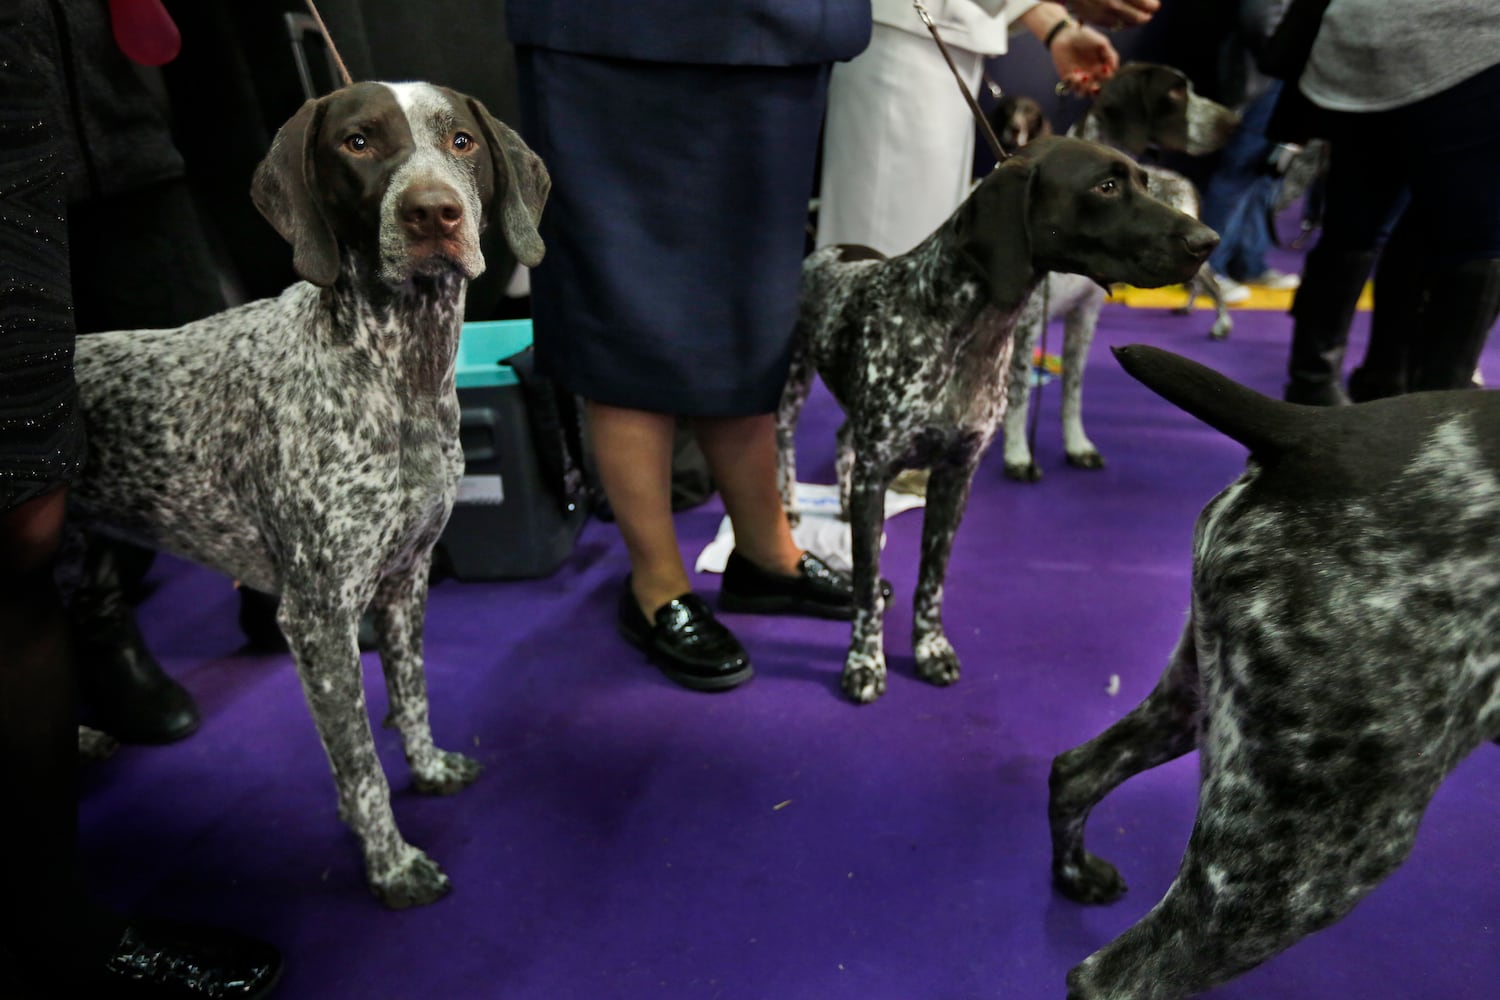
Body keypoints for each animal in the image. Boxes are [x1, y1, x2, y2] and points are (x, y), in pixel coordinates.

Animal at [70, 82, 549, 911]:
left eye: (460, 141)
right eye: (358, 143)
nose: (433, 213)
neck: (397, 369)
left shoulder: (405, 582)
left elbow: (411, 696)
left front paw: (429, 769)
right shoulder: (319, 618)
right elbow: (358, 765)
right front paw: (390, 866)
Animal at [774, 134, 1218, 704]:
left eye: (1144, 181)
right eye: (1106, 186)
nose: (1208, 240)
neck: (967, 332)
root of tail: (830, 248)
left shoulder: (953, 478)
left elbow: (931, 582)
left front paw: (930, 649)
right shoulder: (880, 474)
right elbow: (868, 588)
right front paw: (865, 662)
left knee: (841, 438)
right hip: (794, 377)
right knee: (785, 439)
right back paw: (789, 507)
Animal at [1002, 65, 1236, 479]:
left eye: (1143, 183)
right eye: (1175, 92)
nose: (1232, 122)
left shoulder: (1085, 315)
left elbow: (1073, 389)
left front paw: (1077, 444)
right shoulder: (1028, 322)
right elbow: (1018, 393)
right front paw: (1017, 453)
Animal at [1050, 346, 1500, 1000]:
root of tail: (1313, 429)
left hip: (1201, 704)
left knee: (1075, 771)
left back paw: (1076, 875)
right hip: (1314, 850)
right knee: (1111, 978)